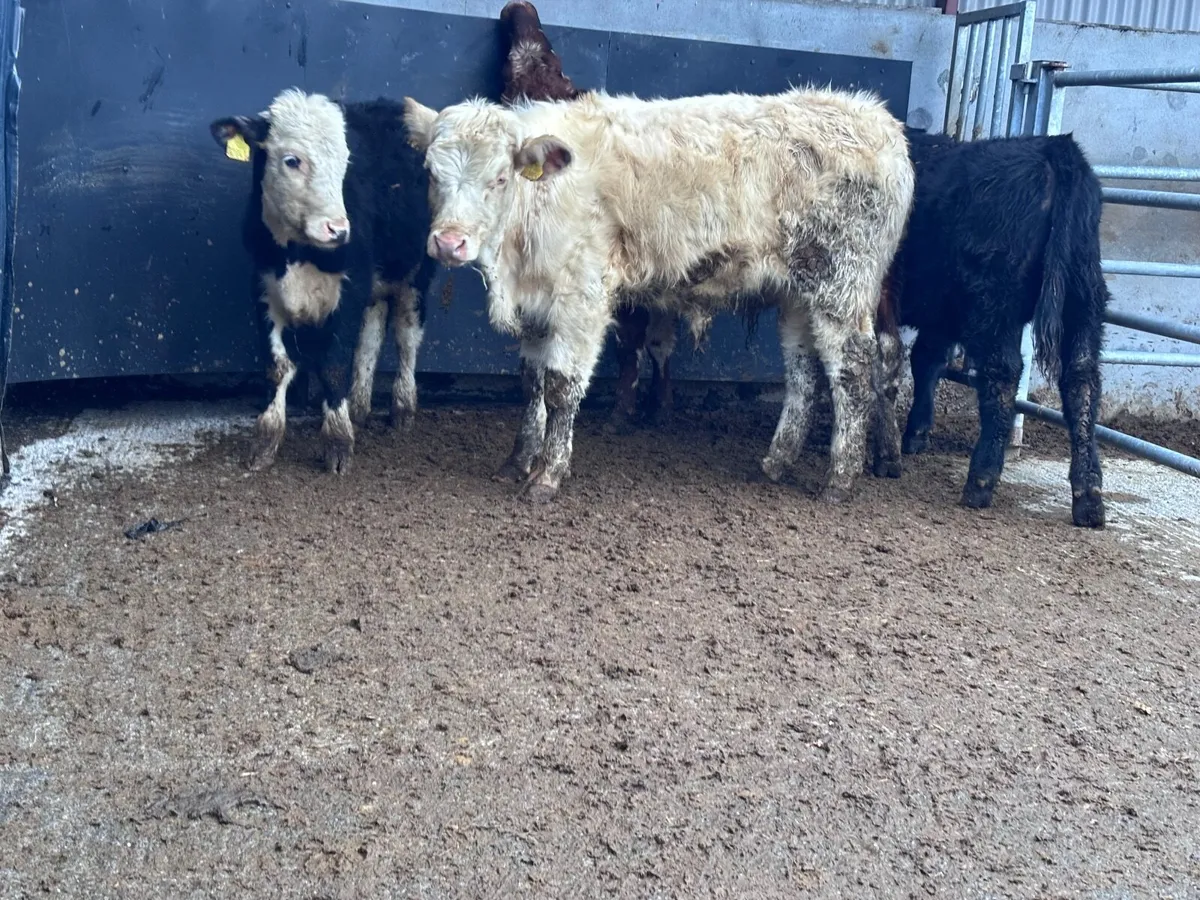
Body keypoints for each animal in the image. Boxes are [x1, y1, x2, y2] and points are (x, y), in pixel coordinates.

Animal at [210, 89, 437, 474]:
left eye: (346, 162)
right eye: (292, 160)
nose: (339, 229)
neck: (297, 251)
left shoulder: (348, 290)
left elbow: (332, 366)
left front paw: (338, 442)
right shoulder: (264, 289)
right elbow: (278, 367)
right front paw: (265, 442)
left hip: (416, 274)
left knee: (407, 338)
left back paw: (402, 411)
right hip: (375, 286)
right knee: (370, 337)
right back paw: (359, 407)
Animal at [402, 87, 915, 503]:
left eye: (499, 178)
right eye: (430, 173)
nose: (449, 242)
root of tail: (875, 118)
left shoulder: (581, 296)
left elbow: (560, 388)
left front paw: (547, 475)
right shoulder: (536, 304)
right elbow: (531, 384)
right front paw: (517, 461)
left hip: (843, 288)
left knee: (852, 372)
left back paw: (839, 480)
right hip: (798, 296)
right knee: (803, 375)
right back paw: (776, 463)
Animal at [872, 130, 1109, 528]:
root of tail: (1053, 147)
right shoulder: (943, 314)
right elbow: (926, 361)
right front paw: (915, 434)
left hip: (994, 301)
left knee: (1003, 375)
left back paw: (981, 480)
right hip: (1085, 299)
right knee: (1082, 380)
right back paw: (1088, 496)